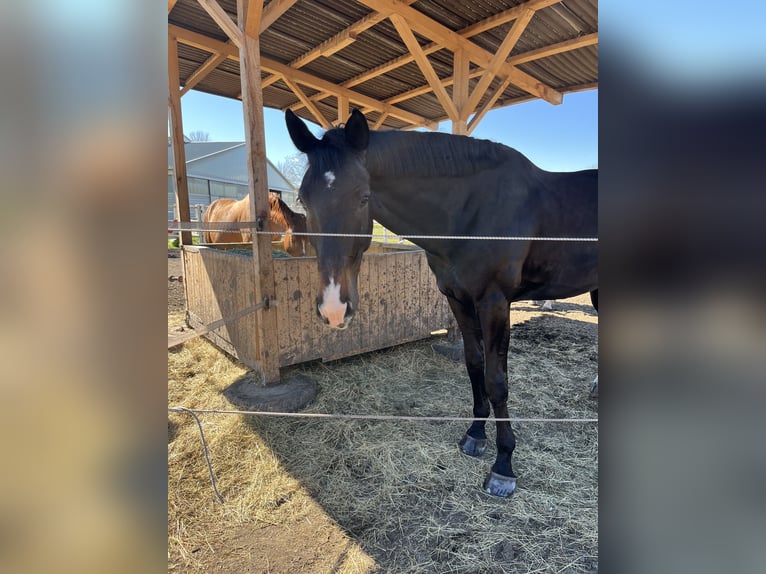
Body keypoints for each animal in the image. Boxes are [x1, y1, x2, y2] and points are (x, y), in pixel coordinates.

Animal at [288, 110, 600, 498]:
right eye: (303, 199)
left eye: (363, 197)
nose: (334, 308)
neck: (470, 213)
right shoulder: (457, 299)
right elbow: (473, 364)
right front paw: (475, 435)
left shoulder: (494, 302)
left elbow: (497, 379)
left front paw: (503, 465)